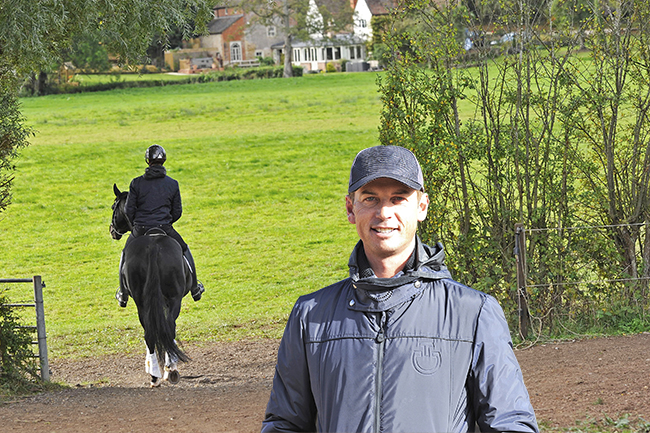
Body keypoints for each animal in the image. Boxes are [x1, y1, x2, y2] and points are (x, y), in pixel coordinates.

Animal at [110, 182, 191, 384]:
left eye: (113, 206)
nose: (112, 231)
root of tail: (154, 246)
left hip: (144, 300)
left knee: (152, 331)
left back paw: (157, 373)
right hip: (172, 298)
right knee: (167, 327)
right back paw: (169, 370)